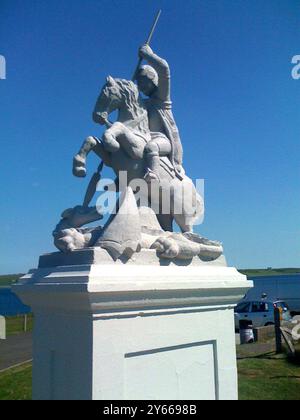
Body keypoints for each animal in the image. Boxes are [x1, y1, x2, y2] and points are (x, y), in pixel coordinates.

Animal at [73, 76, 204, 233]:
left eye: (105, 93)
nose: (96, 117)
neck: (135, 127)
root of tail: (194, 190)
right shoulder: (110, 159)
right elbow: (91, 140)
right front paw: (79, 166)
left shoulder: (136, 150)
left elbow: (118, 127)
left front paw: (111, 141)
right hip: (163, 209)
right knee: (167, 227)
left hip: (181, 210)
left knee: (187, 230)